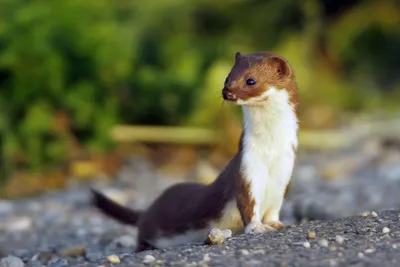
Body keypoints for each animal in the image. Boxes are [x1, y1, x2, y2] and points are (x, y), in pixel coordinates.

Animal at [90, 51, 296, 253]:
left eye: (251, 80)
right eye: (228, 77)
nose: (226, 92)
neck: (271, 150)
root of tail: (148, 210)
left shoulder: (285, 172)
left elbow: (275, 207)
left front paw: (277, 224)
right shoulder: (247, 166)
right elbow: (247, 203)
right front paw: (257, 227)